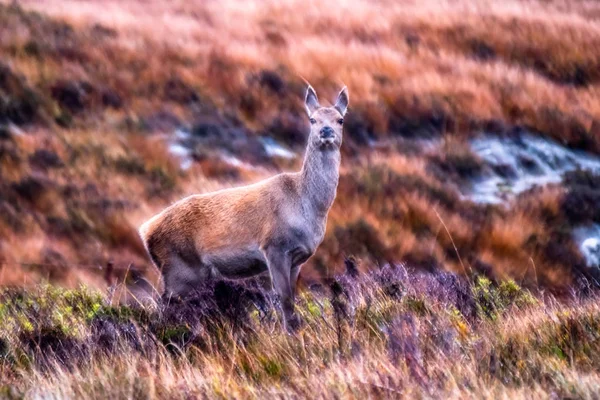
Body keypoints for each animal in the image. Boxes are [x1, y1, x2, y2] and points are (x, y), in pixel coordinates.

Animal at [139, 85, 350, 332]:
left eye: (340, 119)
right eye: (312, 119)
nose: (326, 131)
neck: (307, 206)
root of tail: (145, 230)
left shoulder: (298, 258)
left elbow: (292, 300)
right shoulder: (274, 247)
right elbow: (285, 300)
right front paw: (290, 335)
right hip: (179, 269)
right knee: (163, 309)